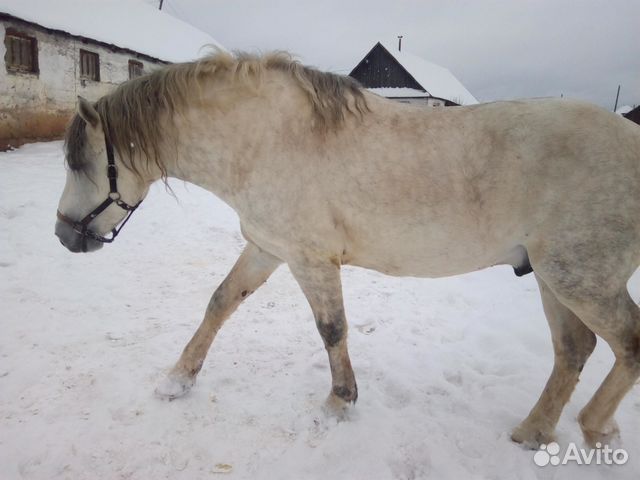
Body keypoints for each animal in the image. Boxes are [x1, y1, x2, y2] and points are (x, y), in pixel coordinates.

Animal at [56, 50, 640, 448]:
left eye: (81, 163)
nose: (64, 235)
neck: (264, 140)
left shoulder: (309, 259)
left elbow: (331, 329)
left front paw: (338, 404)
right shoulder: (267, 248)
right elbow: (220, 303)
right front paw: (178, 379)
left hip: (579, 277)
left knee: (627, 343)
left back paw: (594, 426)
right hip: (551, 277)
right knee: (574, 350)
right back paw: (533, 431)